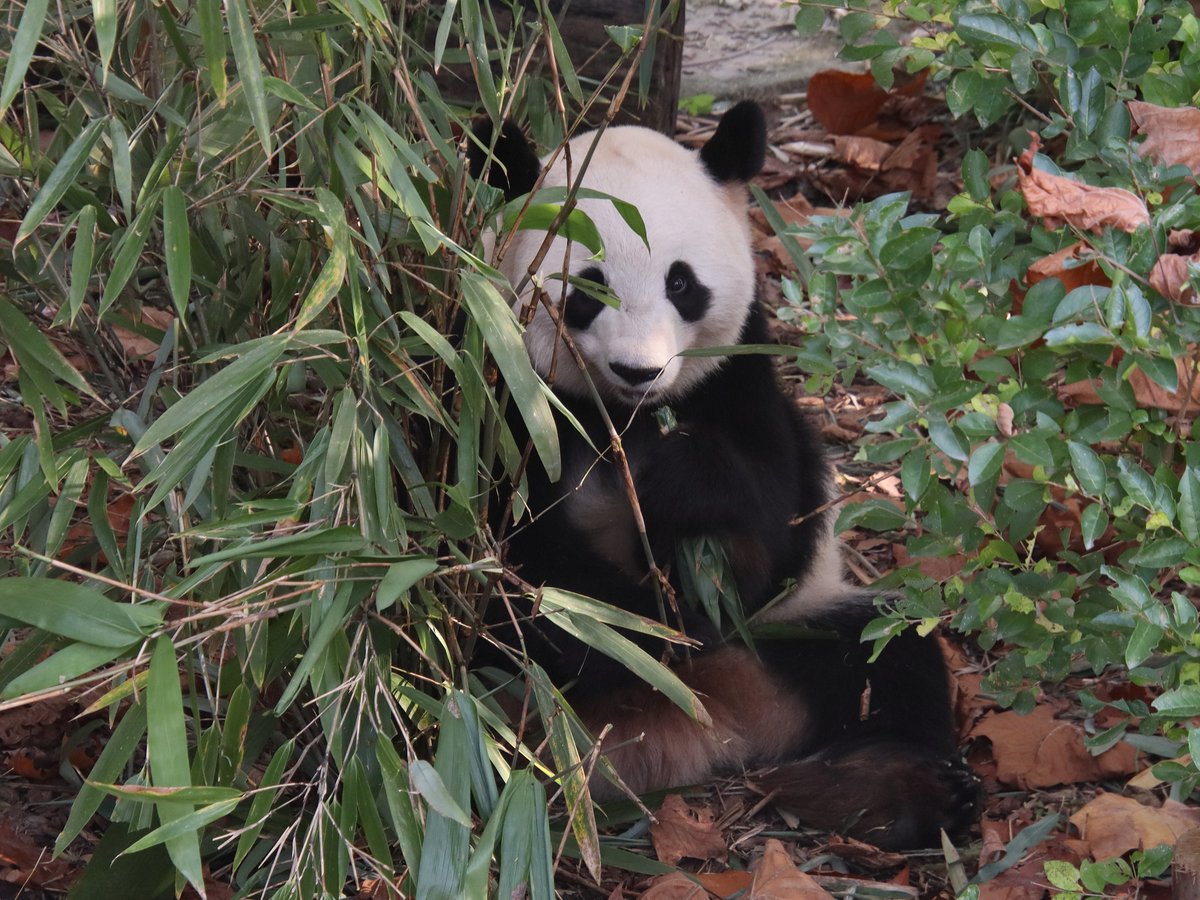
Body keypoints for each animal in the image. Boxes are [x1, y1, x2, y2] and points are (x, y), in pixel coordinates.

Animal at [468, 102, 977, 851]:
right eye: (588, 288)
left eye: (681, 282)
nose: (639, 370)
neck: (621, 418)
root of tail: (711, 722)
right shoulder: (508, 406)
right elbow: (520, 560)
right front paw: (630, 622)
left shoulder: (742, 382)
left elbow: (771, 521)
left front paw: (674, 494)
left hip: (791, 632)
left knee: (888, 653)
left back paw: (896, 792)